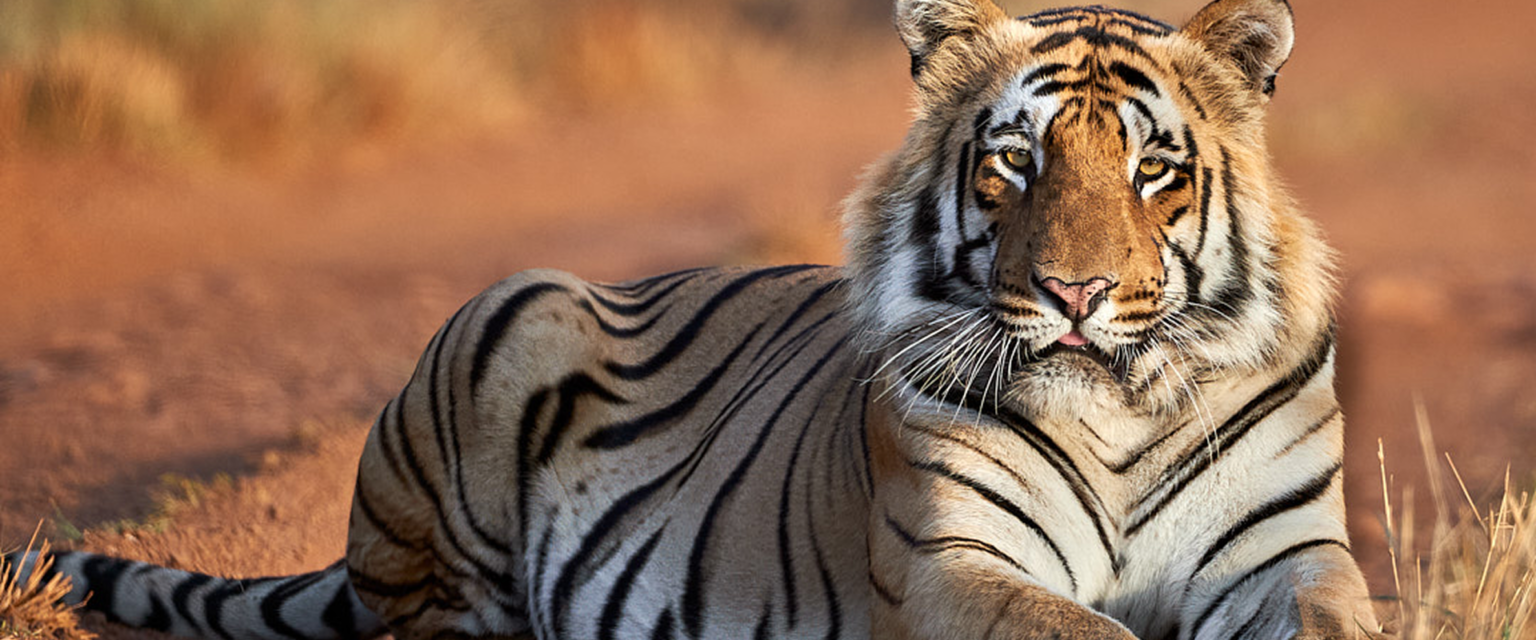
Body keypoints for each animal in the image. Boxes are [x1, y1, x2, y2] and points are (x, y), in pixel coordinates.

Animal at [3, 0, 1384, 638]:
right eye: (1015, 163)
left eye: (1154, 170)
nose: (1077, 296)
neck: (1121, 407)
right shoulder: (953, 564)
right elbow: (1083, 625)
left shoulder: (1288, 554)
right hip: (510, 321)